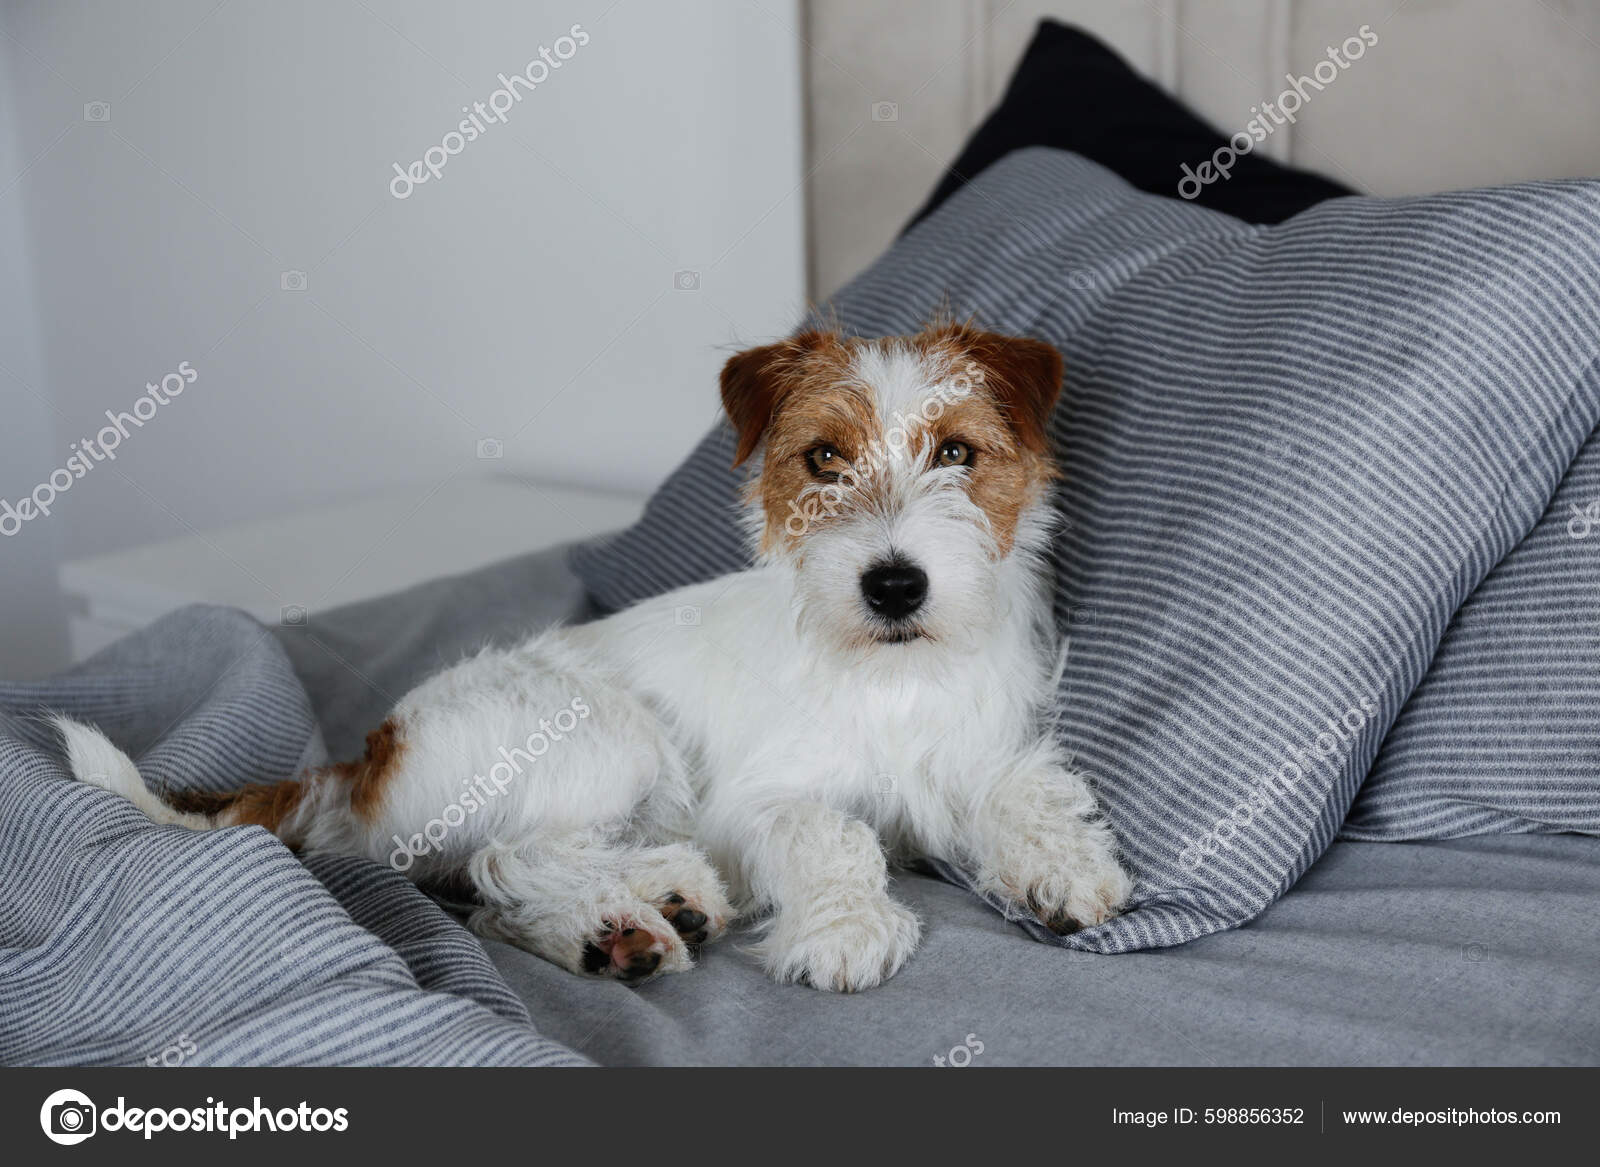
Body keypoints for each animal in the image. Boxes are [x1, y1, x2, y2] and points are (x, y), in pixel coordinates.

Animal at [56, 320, 1132, 992]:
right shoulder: (762, 798)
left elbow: (1025, 785)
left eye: (955, 453)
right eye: (825, 459)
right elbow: (832, 832)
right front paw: (846, 928)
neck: (892, 671)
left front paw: (1061, 867)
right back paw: (648, 901)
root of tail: (369, 753)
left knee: (489, 899)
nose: (894, 584)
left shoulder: (981, 748)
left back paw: (632, 922)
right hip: (609, 734)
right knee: (509, 856)